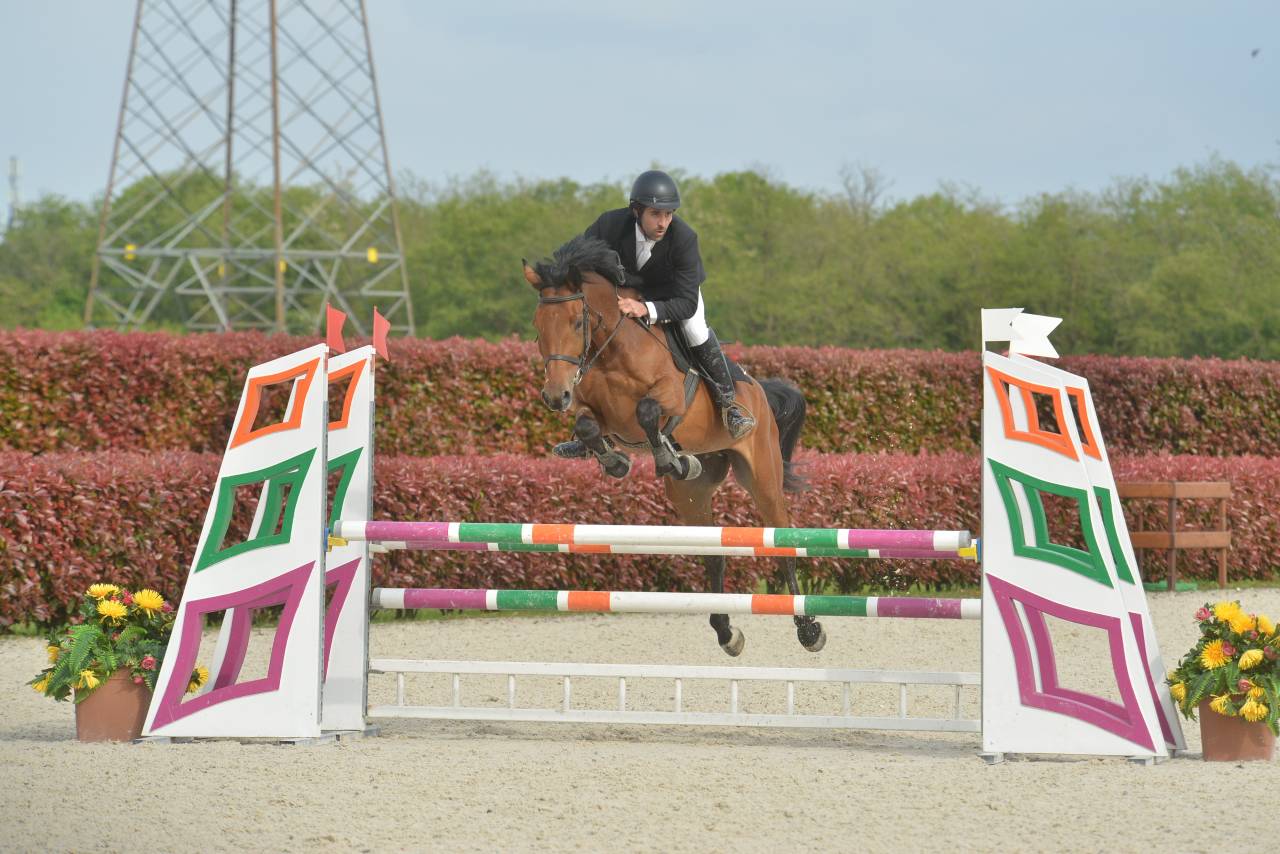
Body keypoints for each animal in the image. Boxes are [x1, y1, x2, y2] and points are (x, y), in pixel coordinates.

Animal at [521, 235, 822, 656]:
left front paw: (667, 457)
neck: (611, 352)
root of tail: (759, 391)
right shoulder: (591, 410)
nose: (554, 396)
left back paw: (808, 629)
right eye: (537, 325)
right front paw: (616, 462)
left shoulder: (671, 398)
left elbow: (648, 411)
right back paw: (726, 631)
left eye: (577, 322)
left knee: (782, 545)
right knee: (713, 556)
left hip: (762, 478)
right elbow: (586, 425)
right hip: (691, 496)